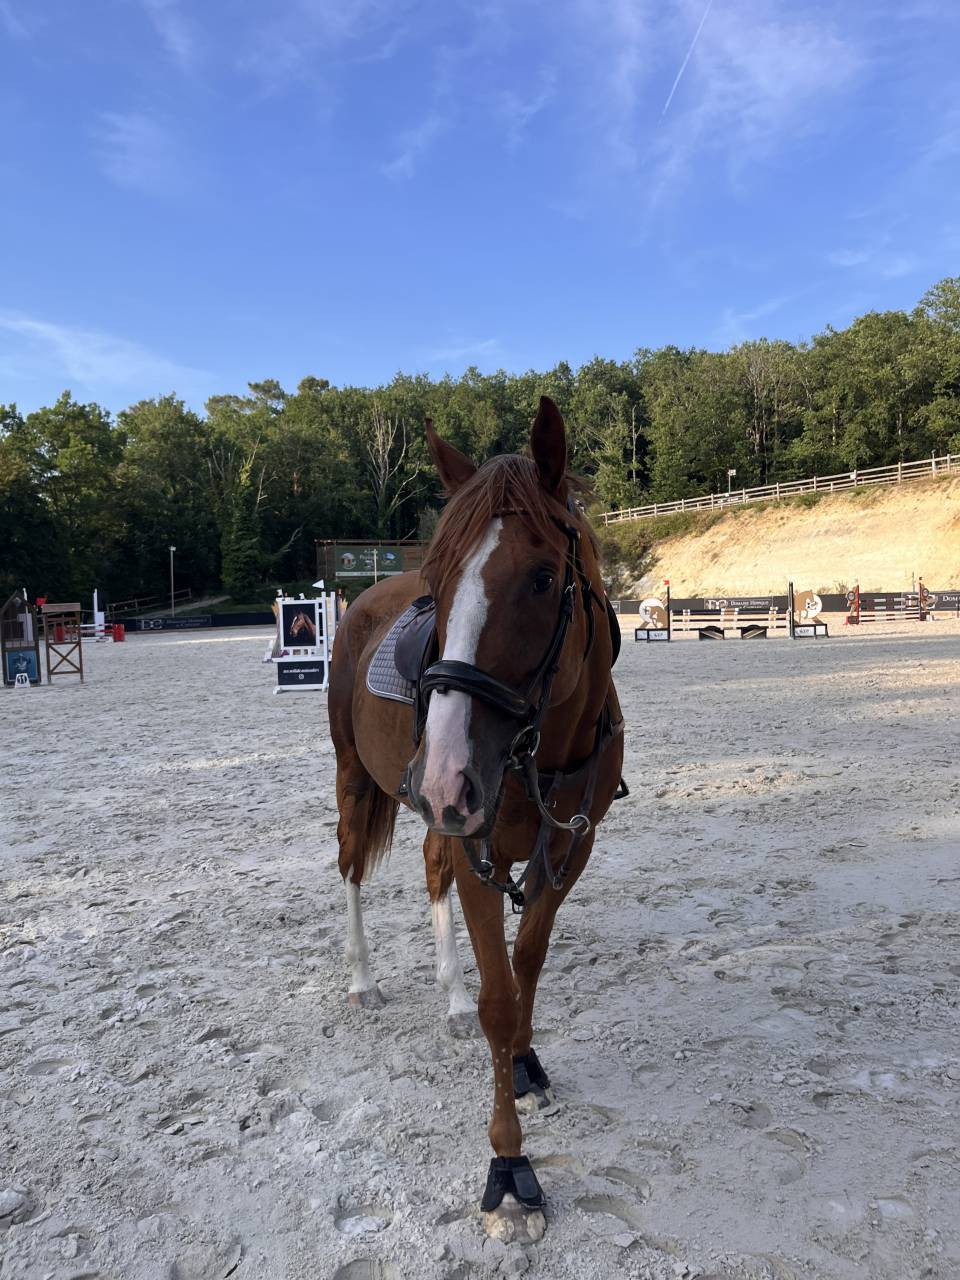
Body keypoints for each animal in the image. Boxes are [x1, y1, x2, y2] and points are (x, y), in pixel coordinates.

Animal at [327, 396, 624, 1242]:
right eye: (438, 579)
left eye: (543, 577)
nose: (447, 775)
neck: (542, 750)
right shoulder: (477, 849)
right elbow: (499, 998)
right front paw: (508, 1163)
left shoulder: (568, 852)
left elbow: (526, 967)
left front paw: (523, 1062)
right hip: (359, 779)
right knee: (351, 866)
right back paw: (364, 981)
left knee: (429, 872)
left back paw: (448, 994)